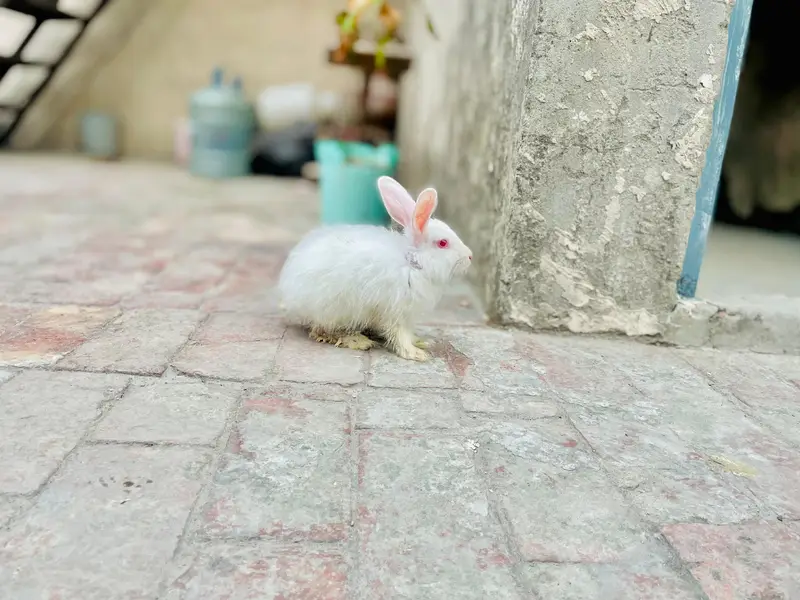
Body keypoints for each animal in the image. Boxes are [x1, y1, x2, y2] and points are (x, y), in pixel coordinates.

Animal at [277, 176, 472, 361]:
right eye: (443, 243)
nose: (470, 256)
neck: (412, 263)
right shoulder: (395, 311)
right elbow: (399, 335)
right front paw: (415, 354)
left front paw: (420, 342)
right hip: (335, 310)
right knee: (322, 331)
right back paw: (359, 341)